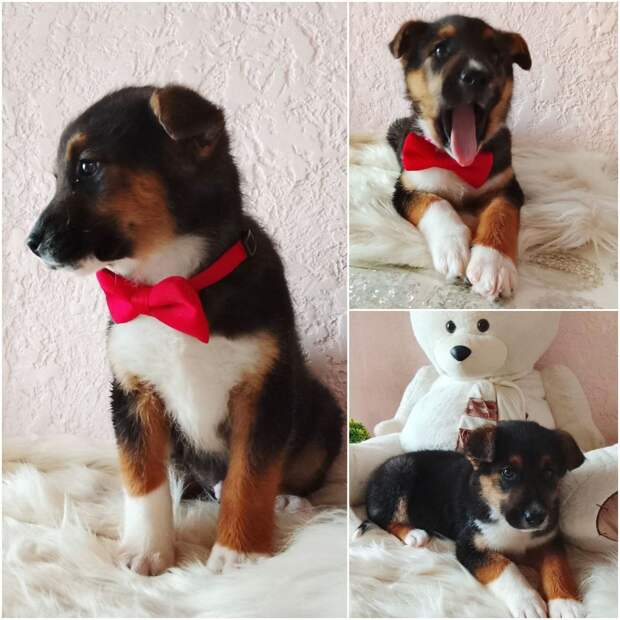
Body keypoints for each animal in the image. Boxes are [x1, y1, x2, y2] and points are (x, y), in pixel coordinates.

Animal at [27, 84, 343, 575]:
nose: (32, 243)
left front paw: (238, 555)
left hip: (322, 414)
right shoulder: (134, 394)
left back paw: (288, 502)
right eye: (59, 174)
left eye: (87, 167)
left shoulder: (262, 391)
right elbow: (143, 479)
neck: (173, 286)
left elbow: (250, 477)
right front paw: (146, 551)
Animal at [363, 421, 585, 618]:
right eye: (508, 472)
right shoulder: (469, 547)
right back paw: (413, 534)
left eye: (549, 472)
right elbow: (506, 566)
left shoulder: (548, 541)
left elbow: (557, 567)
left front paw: (566, 604)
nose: (537, 517)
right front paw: (528, 601)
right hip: (400, 474)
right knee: (384, 518)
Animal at [387, 15, 531, 299]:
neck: (458, 162)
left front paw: (493, 264)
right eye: (440, 49)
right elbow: (436, 202)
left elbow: (501, 212)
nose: (477, 76)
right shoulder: (406, 188)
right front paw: (452, 248)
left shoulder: (508, 185)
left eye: (496, 55)